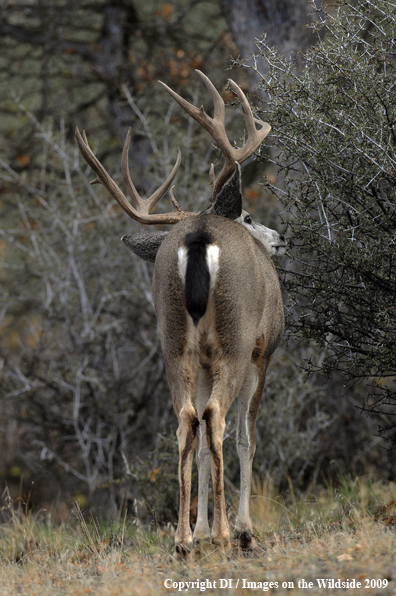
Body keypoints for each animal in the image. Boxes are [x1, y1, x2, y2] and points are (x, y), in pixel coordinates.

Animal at [75, 71, 284, 560]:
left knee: (188, 419)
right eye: (249, 215)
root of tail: (198, 235)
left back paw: (185, 539)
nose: (280, 239)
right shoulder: (262, 352)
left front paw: (202, 529)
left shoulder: (203, 359)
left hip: (172, 338)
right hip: (234, 337)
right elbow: (245, 438)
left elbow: (206, 445)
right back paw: (227, 534)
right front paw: (242, 530)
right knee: (217, 417)